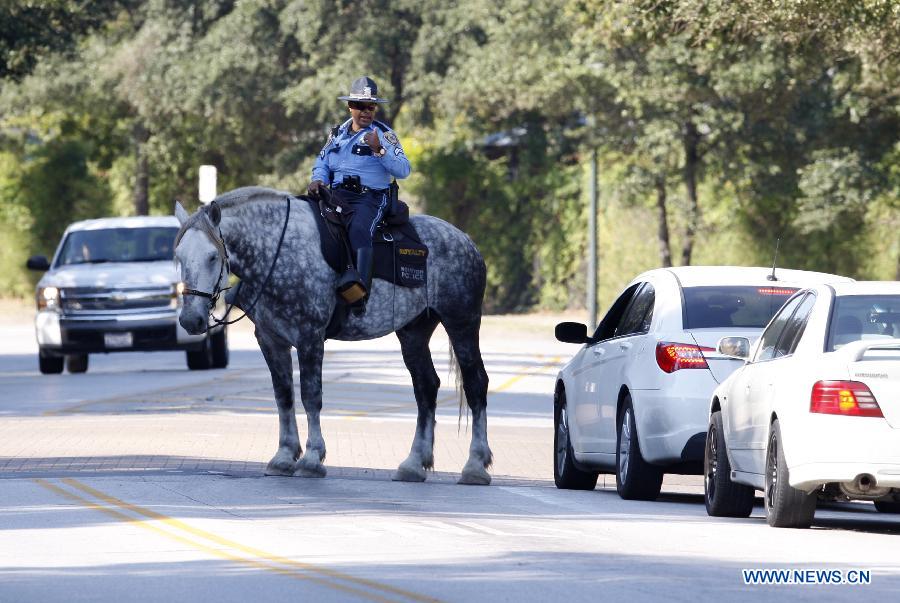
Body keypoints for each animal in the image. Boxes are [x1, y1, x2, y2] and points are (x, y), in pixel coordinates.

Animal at [175, 186, 492, 484]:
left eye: (212, 256)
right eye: (178, 256)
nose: (191, 319)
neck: (277, 251)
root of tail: (466, 241)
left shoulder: (309, 337)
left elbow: (310, 396)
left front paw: (312, 458)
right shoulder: (271, 340)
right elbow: (284, 396)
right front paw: (284, 456)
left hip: (462, 324)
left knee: (476, 384)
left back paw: (475, 465)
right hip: (413, 333)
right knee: (426, 387)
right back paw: (414, 464)